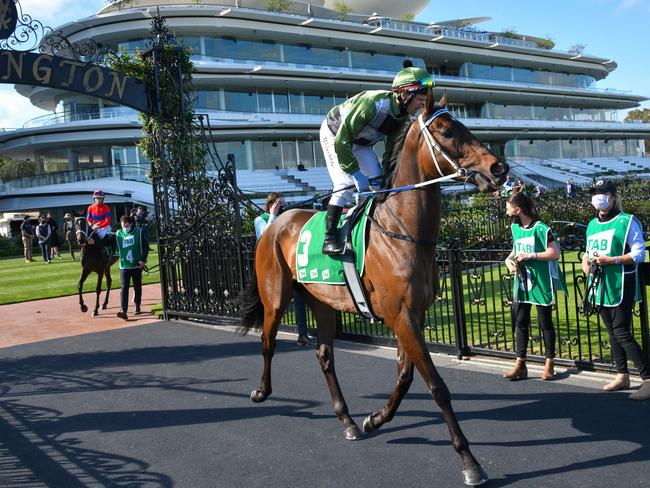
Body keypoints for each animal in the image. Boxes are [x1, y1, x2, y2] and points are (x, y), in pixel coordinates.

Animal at [238, 89, 506, 486]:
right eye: (446, 129)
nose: (498, 168)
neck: (402, 232)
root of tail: (276, 221)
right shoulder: (401, 316)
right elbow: (436, 385)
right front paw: (469, 461)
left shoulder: (412, 315)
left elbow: (405, 377)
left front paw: (375, 418)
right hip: (276, 296)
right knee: (268, 341)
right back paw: (261, 391)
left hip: (322, 302)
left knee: (324, 354)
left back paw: (347, 419)